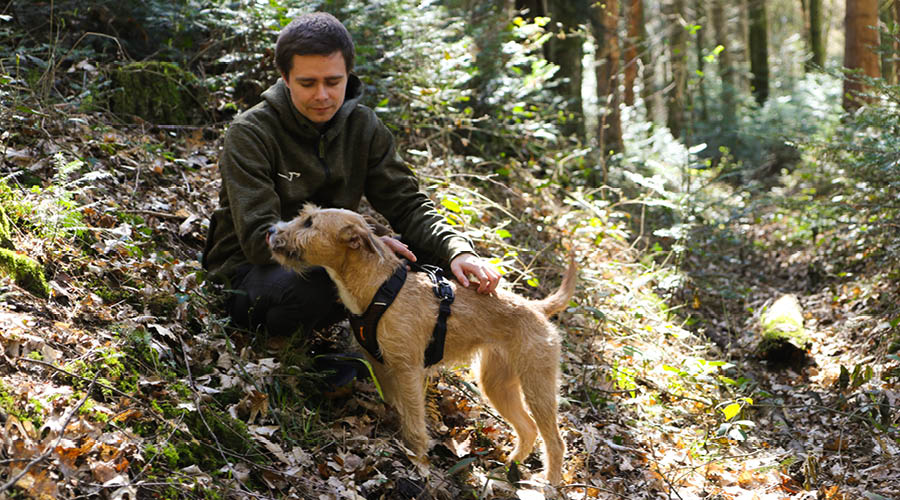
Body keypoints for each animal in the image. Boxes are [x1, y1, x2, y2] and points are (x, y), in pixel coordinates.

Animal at [268, 203, 576, 484]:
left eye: (309, 223)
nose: (271, 231)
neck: (379, 289)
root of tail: (536, 307)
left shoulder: (408, 370)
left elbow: (415, 422)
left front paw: (419, 462)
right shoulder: (382, 366)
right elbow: (397, 408)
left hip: (537, 385)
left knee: (554, 440)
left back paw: (549, 483)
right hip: (497, 384)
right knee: (528, 428)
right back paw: (508, 468)